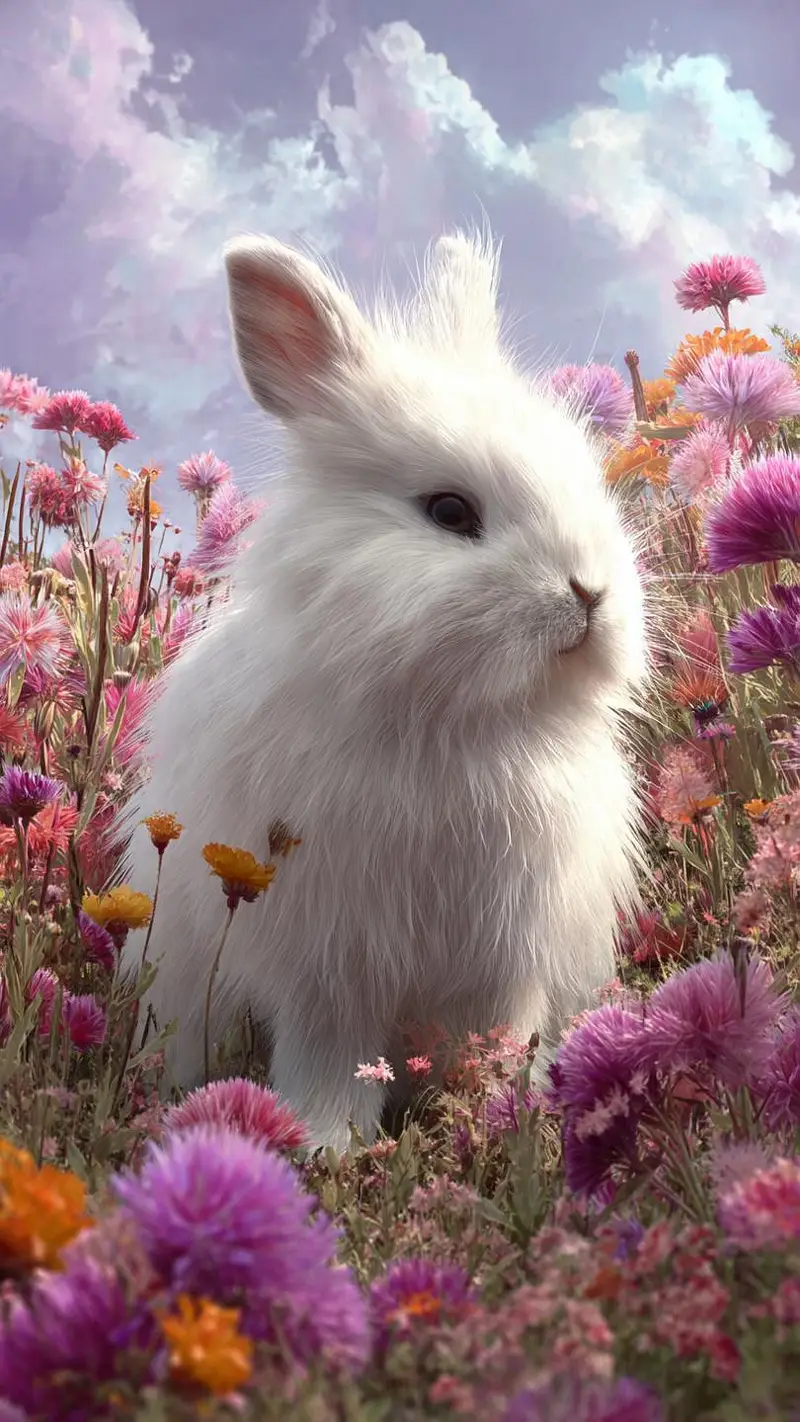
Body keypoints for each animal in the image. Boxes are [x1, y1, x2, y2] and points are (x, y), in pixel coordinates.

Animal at [118, 228, 649, 1153]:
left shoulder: (508, 952)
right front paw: (326, 1141)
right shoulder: (331, 961)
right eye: (449, 511)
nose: (590, 593)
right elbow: (330, 1053)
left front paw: (501, 1115)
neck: (452, 717)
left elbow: (499, 1034)